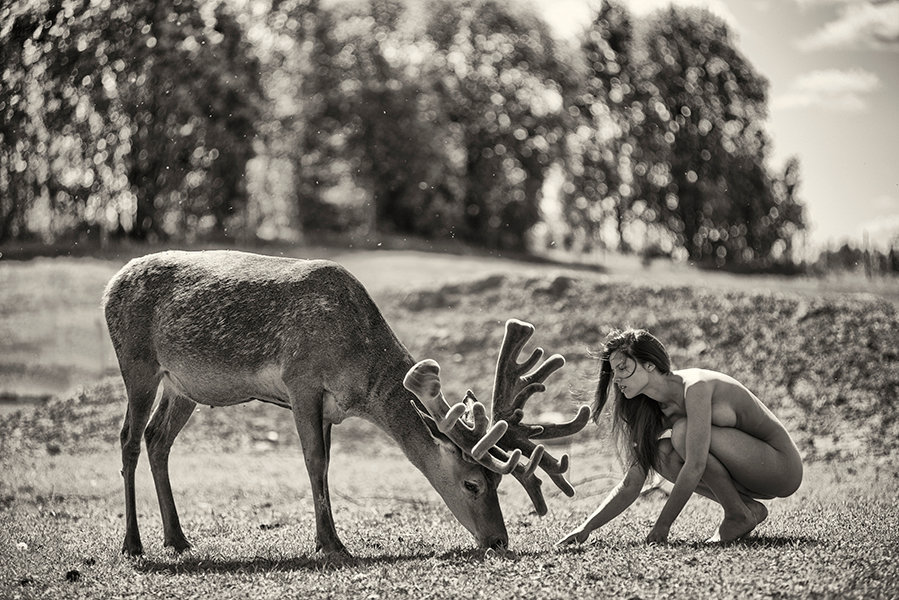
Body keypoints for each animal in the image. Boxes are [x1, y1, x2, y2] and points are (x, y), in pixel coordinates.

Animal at [102, 249, 589, 557]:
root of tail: (111, 285)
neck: (357, 368)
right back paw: (133, 544)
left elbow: (327, 464)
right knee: (127, 439)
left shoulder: (332, 409)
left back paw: (177, 539)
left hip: (183, 386)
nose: (499, 541)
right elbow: (313, 460)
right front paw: (333, 545)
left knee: (157, 439)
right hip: (137, 363)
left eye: (497, 482)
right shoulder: (300, 379)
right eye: (472, 483)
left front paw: (327, 538)